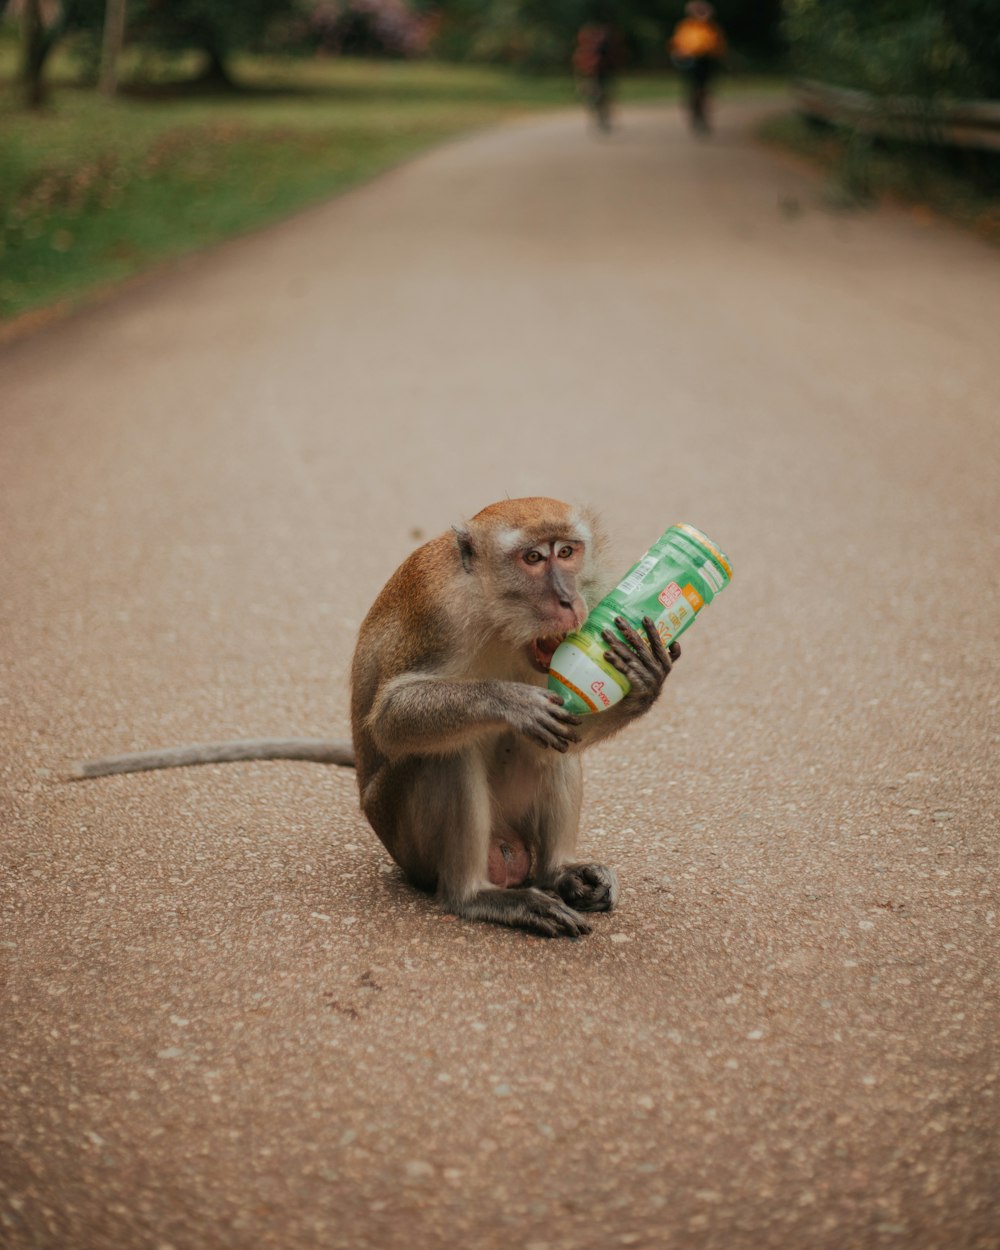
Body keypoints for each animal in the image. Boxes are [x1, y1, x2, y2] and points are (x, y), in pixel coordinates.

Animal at [70, 497, 680, 940]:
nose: (567, 600)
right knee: (446, 753)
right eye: (533, 559)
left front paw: (644, 679)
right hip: (406, 841)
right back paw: (476, 897)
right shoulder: (436, 616)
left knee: (543, 752)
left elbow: (564, 722)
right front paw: (510, 701)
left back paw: (557, 874)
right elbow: (390, 719)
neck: (494, 612)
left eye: (568, 552)